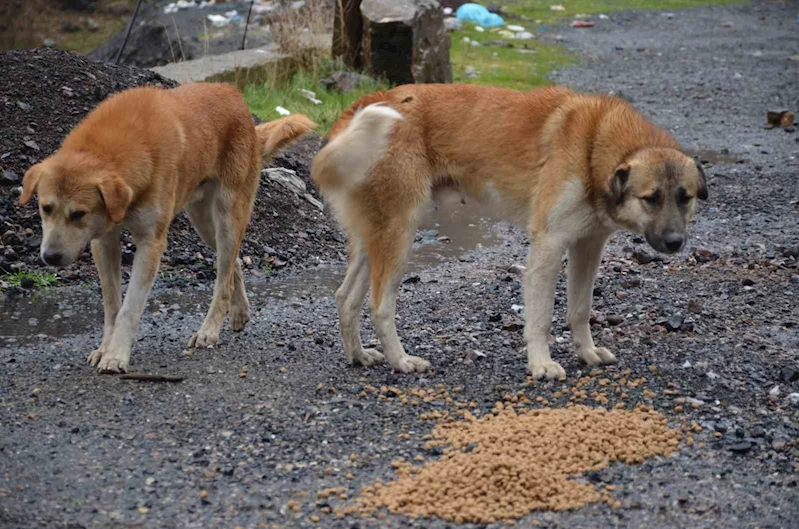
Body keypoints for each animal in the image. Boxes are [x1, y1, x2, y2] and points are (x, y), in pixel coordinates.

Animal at [21, 83, 316, 372]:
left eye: (78, 214)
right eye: (46, 208)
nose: (50, 257)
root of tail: (236, 97)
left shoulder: (151, 243)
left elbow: (129, 308)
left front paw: (116, 355)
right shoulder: (103, 241)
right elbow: (112, 306)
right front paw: (105, 348)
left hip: (227, 217)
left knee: (223, 281)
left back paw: (209, 331)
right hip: (203, 223)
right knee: (233, 265)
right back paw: (240, 311)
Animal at [312, 83, 708, 376]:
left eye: (684, 197)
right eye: (651, 198)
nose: (675, 243)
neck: (593, 144)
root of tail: (363, 102)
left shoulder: (587, 247)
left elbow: (579, 309)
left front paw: (587, 352)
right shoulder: (549, 245)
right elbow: (541, 317)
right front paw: (542, 364)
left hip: (374, 239)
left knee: (345, 298)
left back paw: (359, 356)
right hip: (399, 237)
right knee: (380, 305)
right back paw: (402, 360)